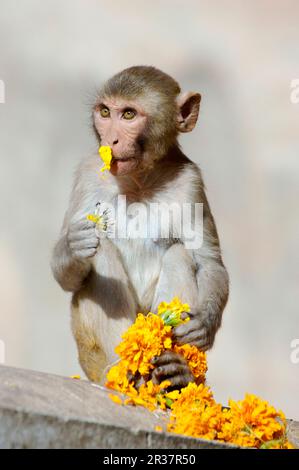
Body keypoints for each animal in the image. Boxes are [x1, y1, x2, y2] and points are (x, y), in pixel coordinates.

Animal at [51, 66, 230, 390]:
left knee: (179, 254)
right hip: (92, 358)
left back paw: (174, 372)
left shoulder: (190, 182)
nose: (110, 139)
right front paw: (74, 245)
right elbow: (68, 277)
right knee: (102, 252)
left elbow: (209, 262)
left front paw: (204, 325)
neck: (139, 181)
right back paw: (123, 374)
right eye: (105, 112)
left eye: (129, 115)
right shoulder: (88, 174)